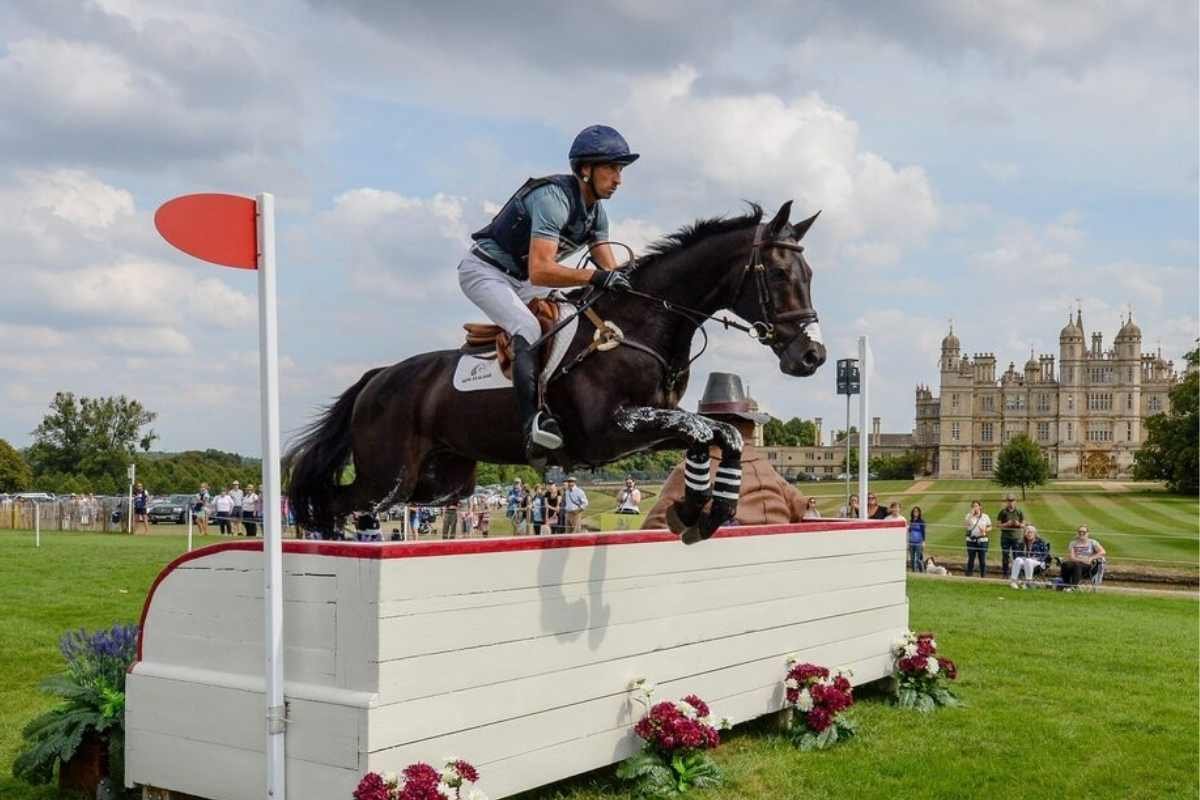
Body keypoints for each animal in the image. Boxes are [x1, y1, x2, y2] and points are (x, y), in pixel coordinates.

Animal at [286, 200, 827, 542]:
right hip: (389, 476)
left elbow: (717, 435)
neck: (642, 323)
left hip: (441, 481)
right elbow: (704, 430)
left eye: (810, 275)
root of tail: (378, 378)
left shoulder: (649, 428)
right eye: (780, 274)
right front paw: (697, 511)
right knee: (336, 501)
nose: (812, 356)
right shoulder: (612, 430)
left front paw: (699, 512)